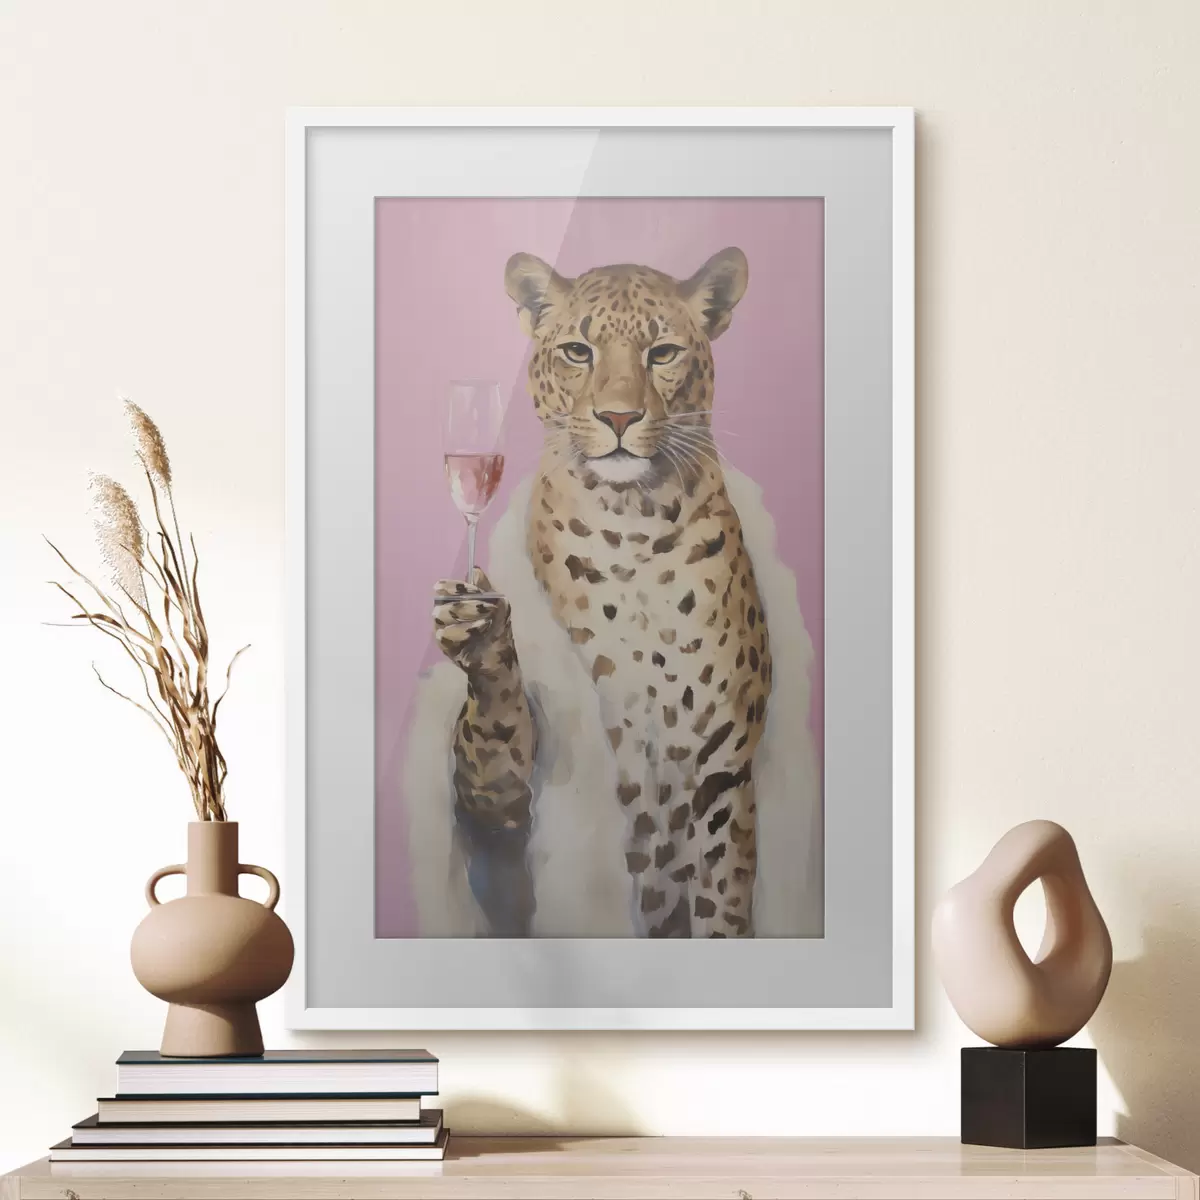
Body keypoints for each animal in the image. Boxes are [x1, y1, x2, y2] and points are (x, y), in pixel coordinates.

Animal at [433, 247, 771, 938]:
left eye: (662, 353)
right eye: (578, 351)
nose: (618, 417)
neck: (633, 527)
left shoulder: (721, 773)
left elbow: (722, 905)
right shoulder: (507, 789)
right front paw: (479, 634)